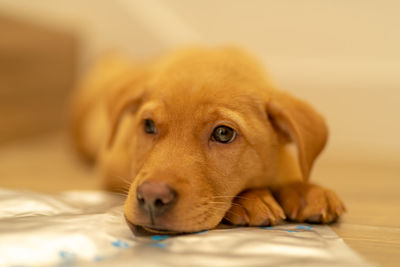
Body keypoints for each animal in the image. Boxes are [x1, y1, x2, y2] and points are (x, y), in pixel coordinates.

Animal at [70, 46, 346, 234]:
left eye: (224, 133)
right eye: (148, 125)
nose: (151, 198)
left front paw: (305, 190)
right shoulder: (111, 164)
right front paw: (252, 199)